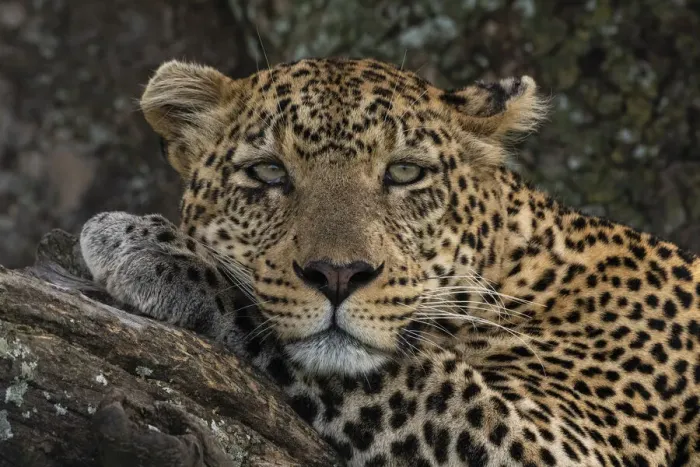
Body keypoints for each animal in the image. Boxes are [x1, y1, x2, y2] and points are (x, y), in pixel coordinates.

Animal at [79, 57, 700, 467]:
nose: (337, 275)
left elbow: (412, 373)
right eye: (269, 172)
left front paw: (149, 250)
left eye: (404, 172)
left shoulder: (565, 445)